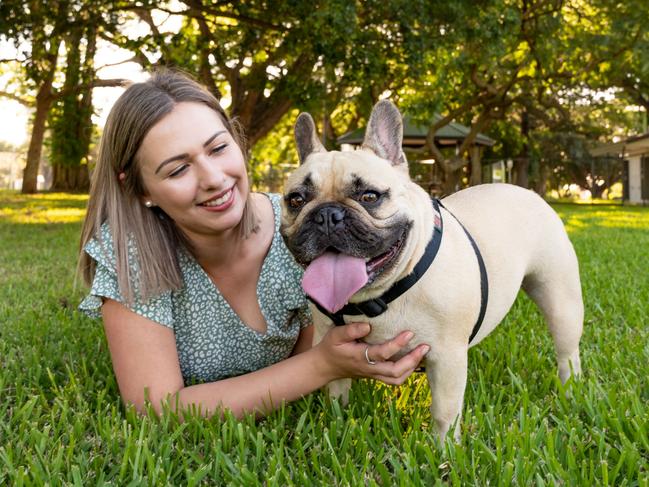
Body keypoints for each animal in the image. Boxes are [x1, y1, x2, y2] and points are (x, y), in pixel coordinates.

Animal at [278, 101, 584, 440]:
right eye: (296, 200)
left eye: (369, 196)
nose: (327, 215)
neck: (380, 295)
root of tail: (524, 190)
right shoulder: (329, 343)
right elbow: (336, 391)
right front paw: (338, 425)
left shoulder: (447, 357)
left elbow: (444, 412)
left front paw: (445, 448)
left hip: (560, 300)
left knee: (567, 350)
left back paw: (571, 389)